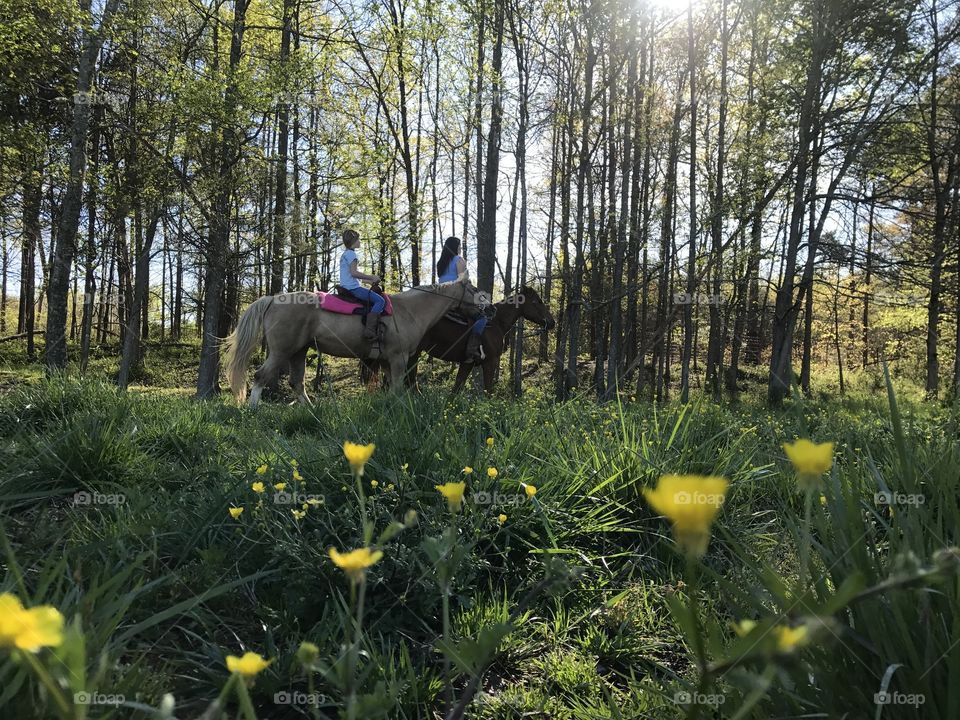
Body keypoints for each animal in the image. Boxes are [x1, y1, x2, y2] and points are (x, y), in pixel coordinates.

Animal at [223, 274, 480, 402]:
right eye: (475, 290)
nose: (486, 310)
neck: (409, 310)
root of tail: (273, 299)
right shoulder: (398, 358)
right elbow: (398, 387)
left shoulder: (386, 361)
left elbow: (392, 387)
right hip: (281, 351)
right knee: (261, 376)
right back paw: (253, 409)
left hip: (299, 351)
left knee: (297, 383)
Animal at [360, 284, 556, 394]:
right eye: (537, 301)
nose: (552, 322)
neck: (496, 323)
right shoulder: (490, 362)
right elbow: (488, 391)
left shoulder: (467, 363)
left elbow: (456, 389)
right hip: (410, 355)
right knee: (409, 382)